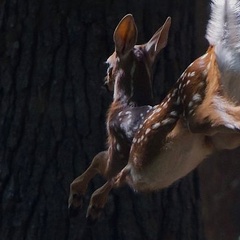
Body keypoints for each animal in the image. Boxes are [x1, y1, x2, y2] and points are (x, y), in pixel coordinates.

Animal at [86, 0, 240, 222]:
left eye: (108, 62)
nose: (105, 81)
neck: (127, 105)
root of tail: (214, 51)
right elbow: (114, 176)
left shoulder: (119, 147)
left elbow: (100, 161)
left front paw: (83, 200)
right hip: (220, 132)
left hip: (199, 109)